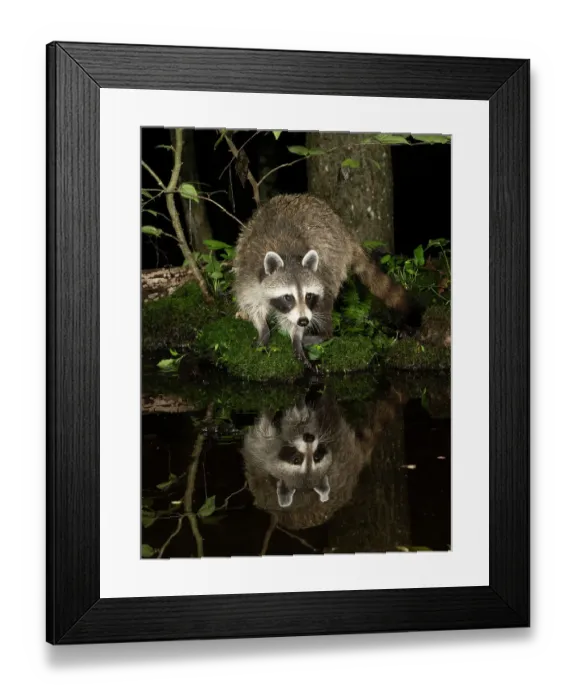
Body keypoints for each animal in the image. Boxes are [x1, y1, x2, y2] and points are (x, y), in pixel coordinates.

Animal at [233, 193, 421, 368]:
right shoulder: (248, 272)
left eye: (308, 296)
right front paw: (263, 328)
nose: (304, 321)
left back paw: (324, 334)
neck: (288, 256)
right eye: (288, 297)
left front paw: (297, 336)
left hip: (334, 259)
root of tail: (344, 228)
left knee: (326, 297)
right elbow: (251, 302)